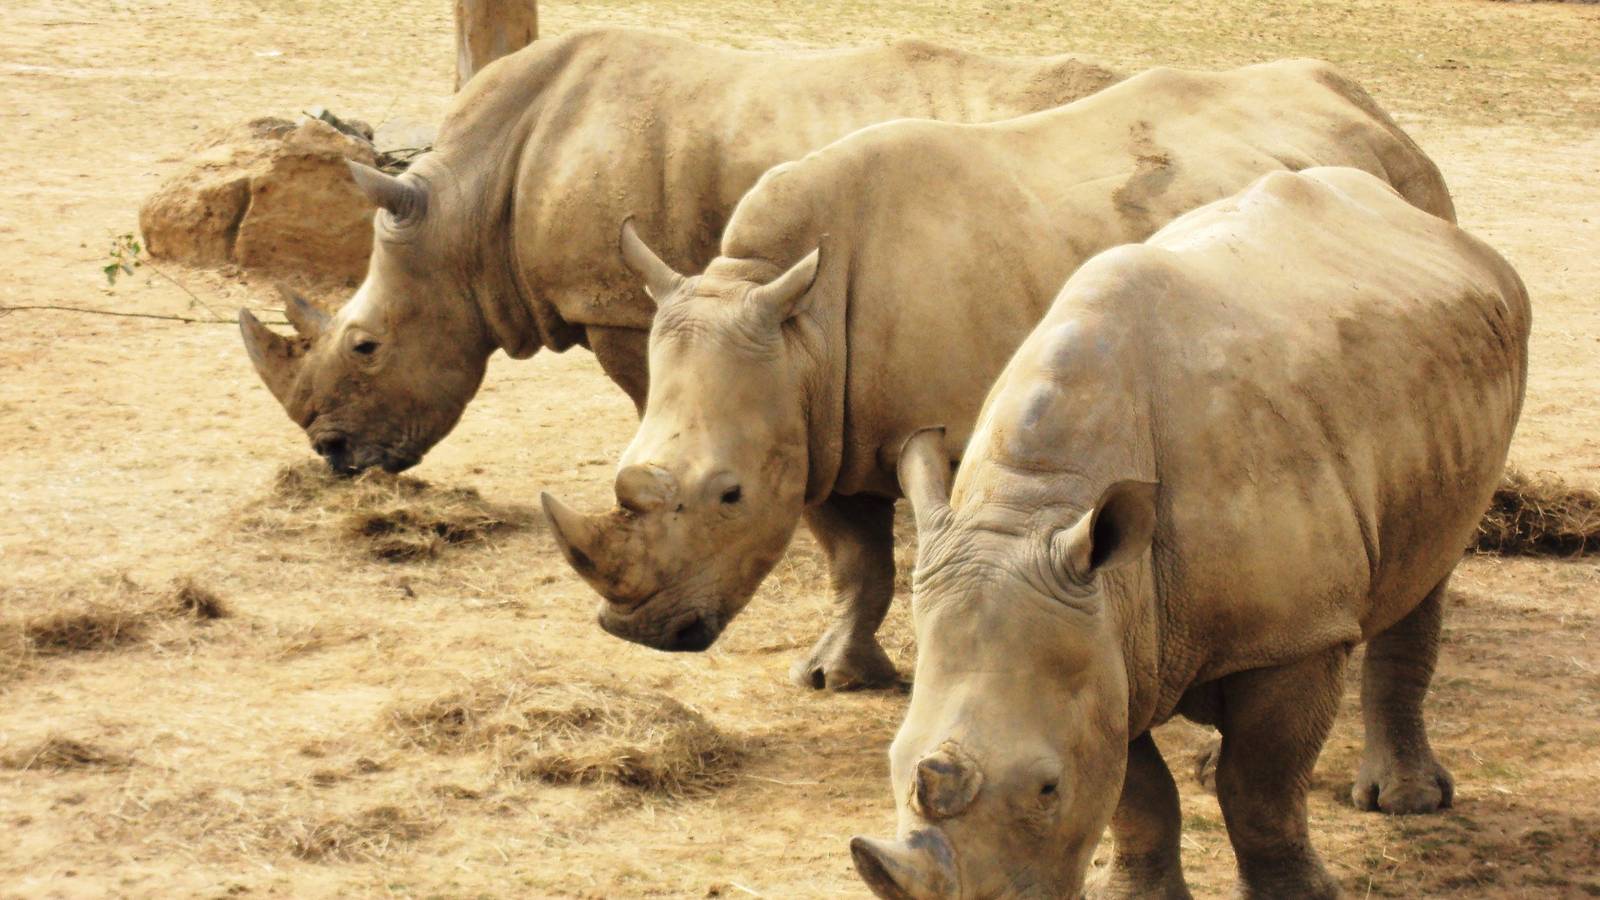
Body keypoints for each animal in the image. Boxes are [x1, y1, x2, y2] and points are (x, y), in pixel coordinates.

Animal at [541, 60, 1456, 690]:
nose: (635, 630)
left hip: (1411, 203)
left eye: (728, 496)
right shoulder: (821, 430)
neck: (799, 327)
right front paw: (833, 676)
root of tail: (1371, 109)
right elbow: (857, 564)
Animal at [850, 167, 1530, 900]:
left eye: (1047, 789)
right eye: (892, 761)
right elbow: (1137, 789)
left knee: (1427, 574)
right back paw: (1210, 764)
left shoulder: (1296, 634)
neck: (1035, 508)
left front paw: (1298, 895)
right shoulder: (1103, 634)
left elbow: (1259, 790)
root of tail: (1424, 220)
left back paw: (1406, 803)